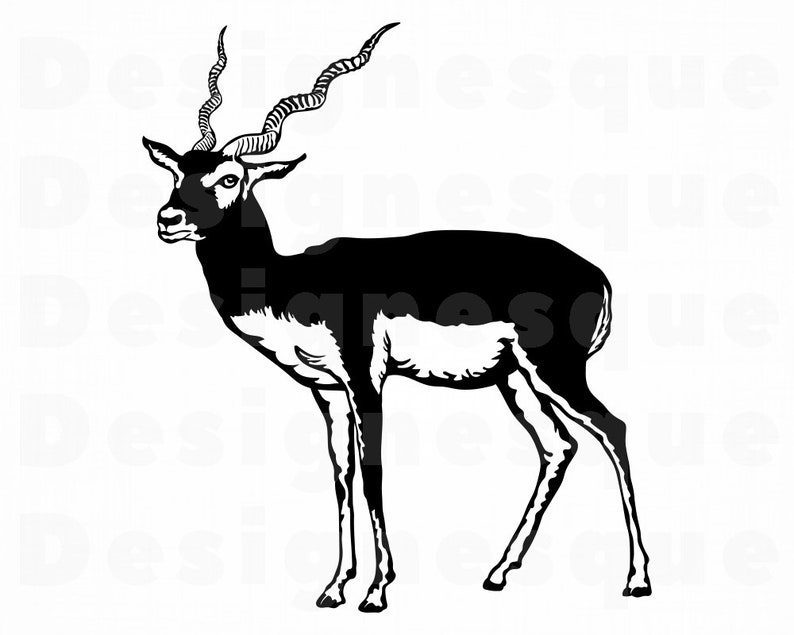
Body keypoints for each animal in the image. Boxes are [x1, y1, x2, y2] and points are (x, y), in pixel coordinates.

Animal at [143, 23, 651, 612]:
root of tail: (596, 273)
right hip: (517, 379)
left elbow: (372, 476)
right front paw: (334, 587)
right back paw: (498, 572)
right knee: (558, 447)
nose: (168, 218)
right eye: (178, 173)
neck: (290, 281)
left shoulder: (366, 380)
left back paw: (637, 579)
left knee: (613, 430)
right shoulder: (327, 391)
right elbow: (340, 477)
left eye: (229, 178)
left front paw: (376, 591)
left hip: (555, 369)